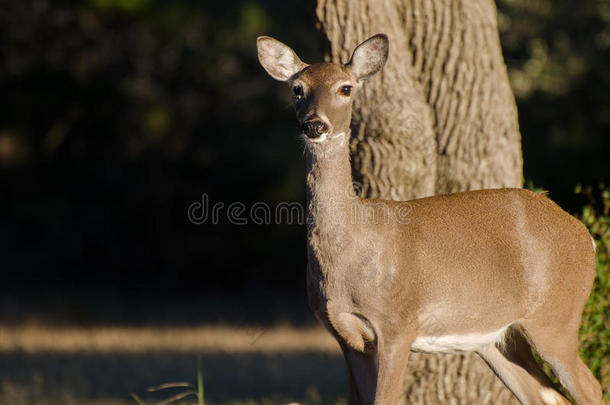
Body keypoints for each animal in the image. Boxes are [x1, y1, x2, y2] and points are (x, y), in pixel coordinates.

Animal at [254, 34, 600, 404]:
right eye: (298, 89)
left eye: (345, 88)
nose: (315, 125)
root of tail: (585, 235)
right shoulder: (347, 340)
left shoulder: (397, 325)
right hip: (497, 340)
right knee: (547, 395)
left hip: (557, 318)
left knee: (590, 386)